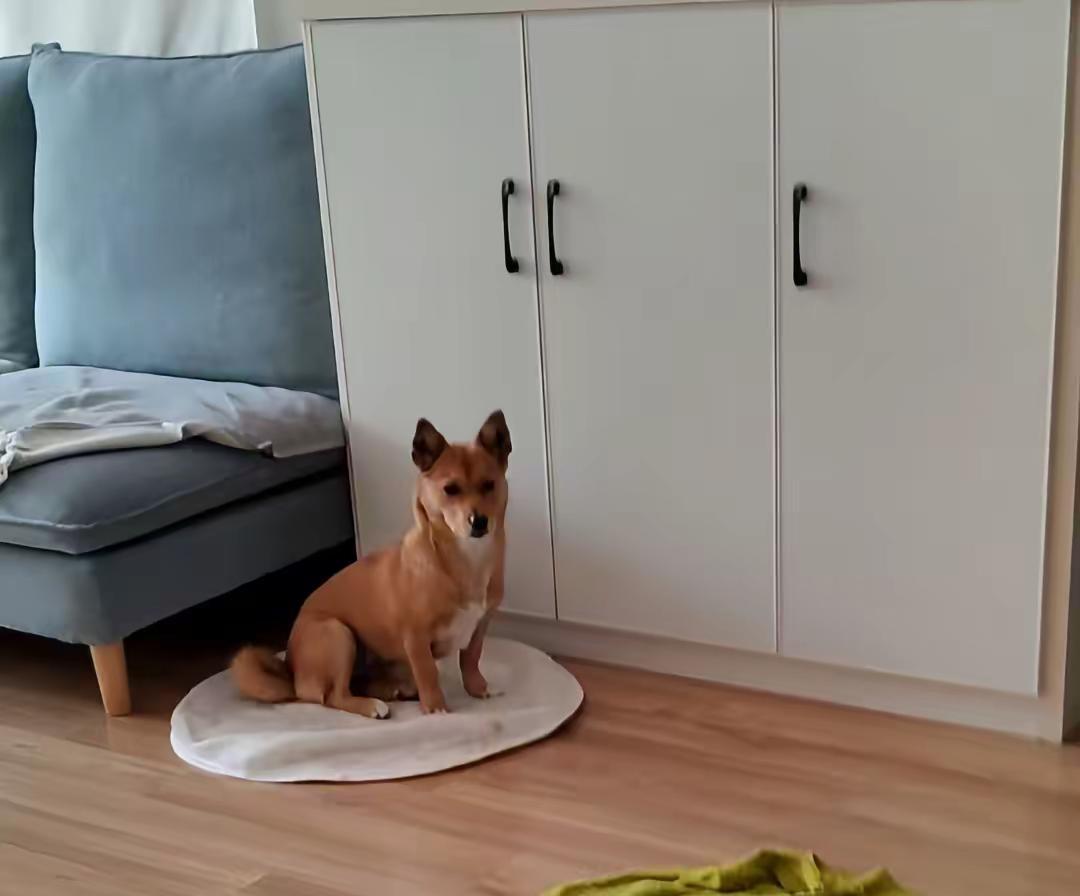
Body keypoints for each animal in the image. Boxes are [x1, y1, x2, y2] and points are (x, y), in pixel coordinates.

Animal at [230, 410, 511, 718]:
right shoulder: (415, 638)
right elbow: (428, 674)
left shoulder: (480, 626)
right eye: (450, 489)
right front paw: (437, 709)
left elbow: (470, 660)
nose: (479, 521)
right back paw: (373, 704)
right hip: (339, 634)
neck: (467, 558)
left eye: (489, 485)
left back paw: (396, 690)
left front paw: (479, 688)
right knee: (334, 695)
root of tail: (292, 673)